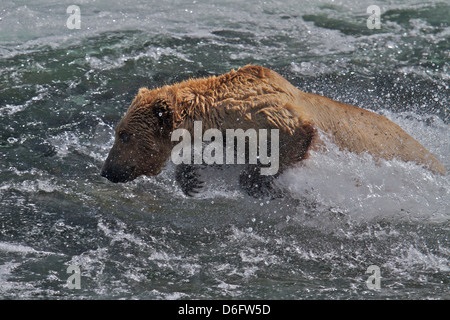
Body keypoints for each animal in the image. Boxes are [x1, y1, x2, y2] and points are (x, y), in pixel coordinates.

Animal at [101, 65, 446, 198]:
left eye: (124, 135)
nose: (107, 170)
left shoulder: (264, 115)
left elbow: (294, 136)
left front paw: (257, 183)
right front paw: (192, 179)